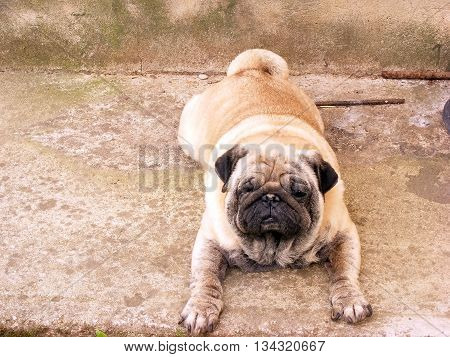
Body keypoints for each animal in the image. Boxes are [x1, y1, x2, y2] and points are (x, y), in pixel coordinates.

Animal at [178, 48, 370, 332]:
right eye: (247, 189)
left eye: (299, 192)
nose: (271, 197)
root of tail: (251, 70)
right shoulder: (210, 240)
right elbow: (206, 277)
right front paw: (201, 308)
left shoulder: (344, 234)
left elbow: (345, 271)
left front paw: (350, 299)